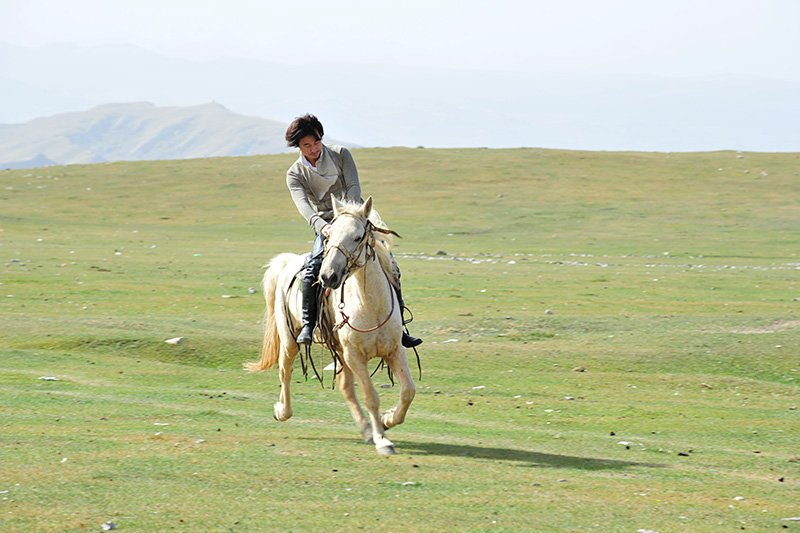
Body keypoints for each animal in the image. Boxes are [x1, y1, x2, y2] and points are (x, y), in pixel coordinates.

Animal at [246, 195, 416, 455]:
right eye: (330, 235)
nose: (328, 277)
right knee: (285, 371)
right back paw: (282, 411)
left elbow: (408, 391)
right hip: (290, 340)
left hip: (339, 352)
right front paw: (383, 440)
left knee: (346, 387)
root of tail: (288, 262)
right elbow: (371, 396)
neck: (370, 305)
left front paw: (387, 420)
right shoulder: (355, 356)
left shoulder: (394, 350)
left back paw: (366, 430)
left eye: (357, 236)